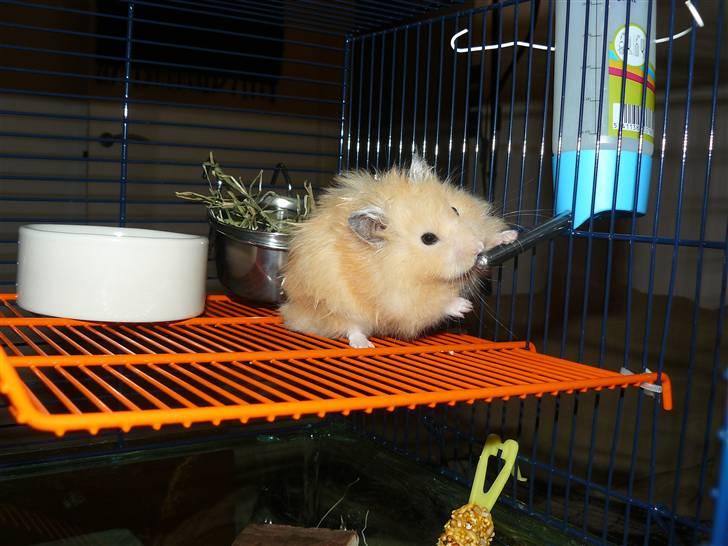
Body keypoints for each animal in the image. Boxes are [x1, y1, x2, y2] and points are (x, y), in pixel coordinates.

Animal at [279, 156, 518, 348]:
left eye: (455, 209)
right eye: (428, 239)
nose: (477, 248)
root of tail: (292, 312)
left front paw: (509, 236)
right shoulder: (401, 298)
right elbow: (431, 304)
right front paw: (464, 306)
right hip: (333, 306)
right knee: (350, 327)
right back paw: (364, 345)